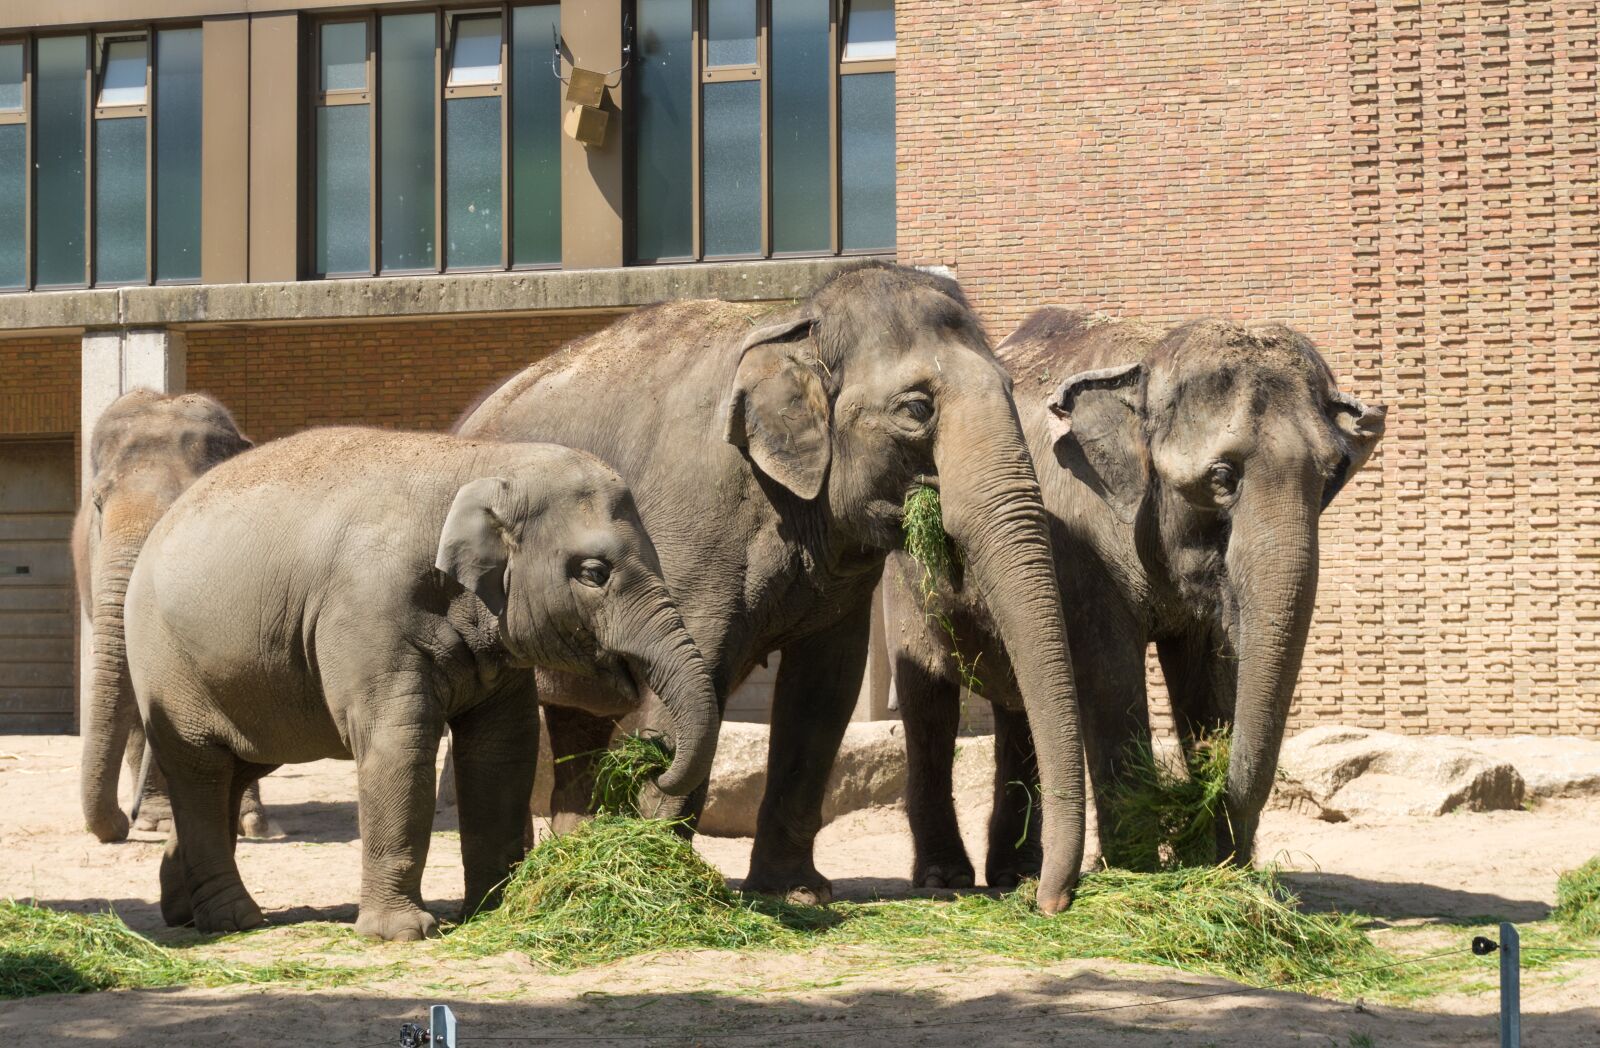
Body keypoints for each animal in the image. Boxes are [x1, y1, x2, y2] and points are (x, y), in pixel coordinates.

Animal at [123, 428, 721, 940]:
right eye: (594, 572)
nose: (655, 757)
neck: (484, 464)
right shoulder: (369, 612)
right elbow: (399, 744)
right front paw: (402, 933)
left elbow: (503, 749)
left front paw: (494, 910)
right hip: (166, 664)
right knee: (201, 768)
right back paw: (234, 920)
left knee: (238, 766)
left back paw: (183, 911)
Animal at [459, 262, 1087, 912]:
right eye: (916, 409)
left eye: (1011, 389)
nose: (1045, 901)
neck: (794, 327)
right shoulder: (688, 530)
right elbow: (692, 675)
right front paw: (663, 874)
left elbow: (823, 689)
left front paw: (797, 893)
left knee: (577, 718)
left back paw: (566, 858)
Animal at [883, 308, 1386, 884]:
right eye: (1222, 477)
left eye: (1330, 476)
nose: (1204, 828)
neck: (1145, 365)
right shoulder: (1079, 545)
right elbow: (1109, 674)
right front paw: (1140, 874)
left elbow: (1208, 678)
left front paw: (1210, 869)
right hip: (905, 577)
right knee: (929, 705)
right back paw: (946, 880)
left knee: (1022, 708)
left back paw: (1019, 876)